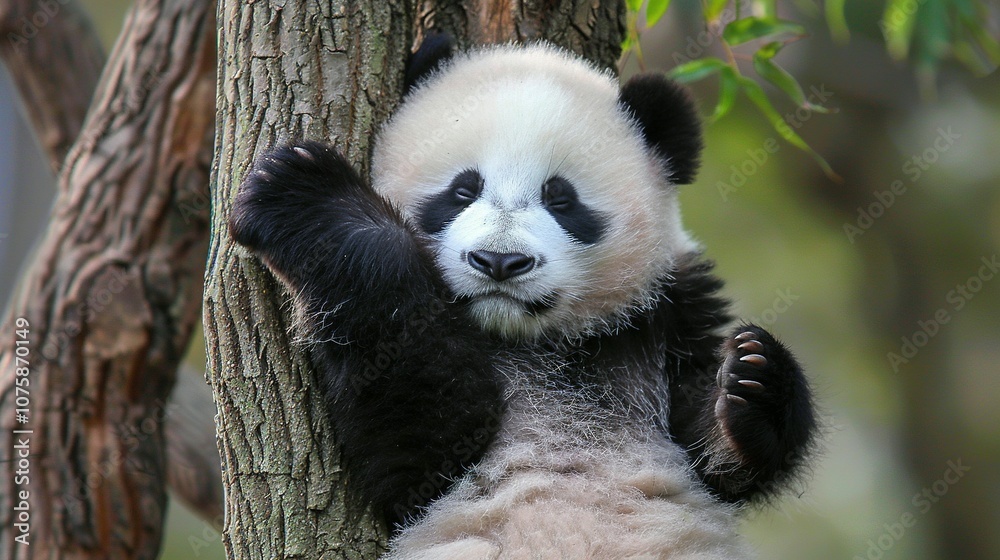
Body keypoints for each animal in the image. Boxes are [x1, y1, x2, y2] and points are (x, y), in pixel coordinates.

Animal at [229, 37, 817, 559]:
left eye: (561, 199)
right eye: (462, 189)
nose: (499, 262)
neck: (535, 341)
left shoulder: (667, 313)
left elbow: (711, 454)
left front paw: (756, 380)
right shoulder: (421, 474)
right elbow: (420, 431)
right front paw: (304, 190)